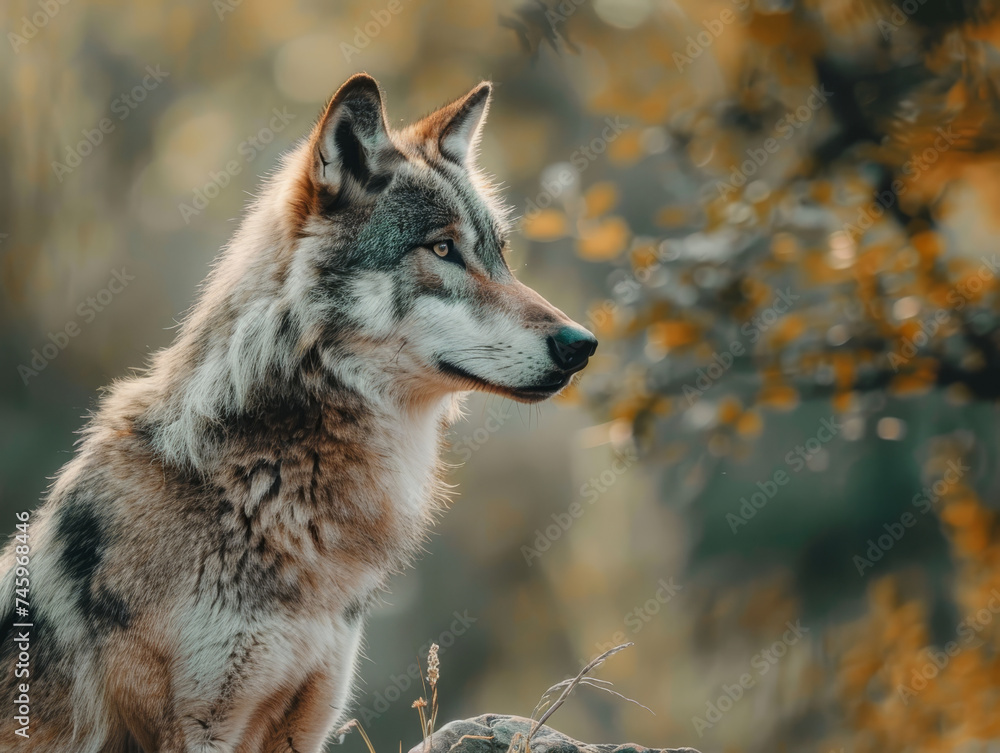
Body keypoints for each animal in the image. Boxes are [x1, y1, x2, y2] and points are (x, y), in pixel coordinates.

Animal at [0, 74, 597, 752]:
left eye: (499, 255)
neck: (268, 480)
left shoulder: (305, 721)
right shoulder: (192, 731)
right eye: (443, 248)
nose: (582, 344)